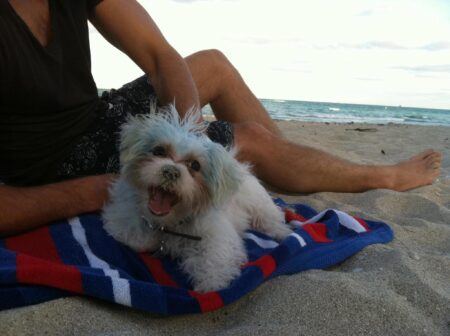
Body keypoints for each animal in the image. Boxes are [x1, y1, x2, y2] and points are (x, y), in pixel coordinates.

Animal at [102, 105, 292, 292]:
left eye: (195, 165)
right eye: (159, 151)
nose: (171, 171)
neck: (169, 224)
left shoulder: (217, 236)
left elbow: (214, 260)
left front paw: (210, 284)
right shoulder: (123, 217)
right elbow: (138, 238)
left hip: (260, 207)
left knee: (270, 220)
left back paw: (282, 232)